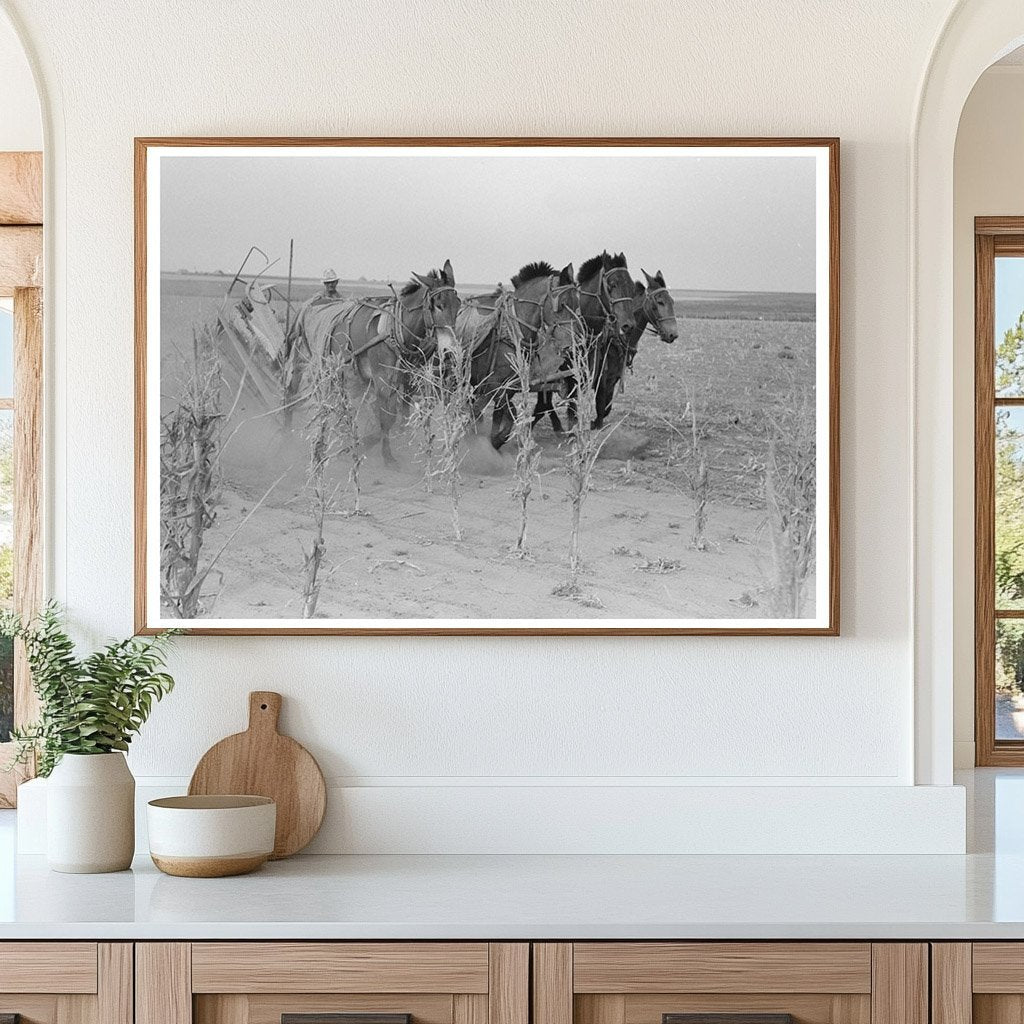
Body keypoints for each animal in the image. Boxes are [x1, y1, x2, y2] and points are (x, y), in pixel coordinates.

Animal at [303, 258, 460, 466]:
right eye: (438, 305)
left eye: (458, 305)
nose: (450, 352)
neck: (398, 331)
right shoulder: (382, 380)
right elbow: (387, 418)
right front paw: (386, 456)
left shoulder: (407, 378)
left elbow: (400, 413)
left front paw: (397, 440)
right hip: (333, 372)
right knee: (335, 404)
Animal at [458, 260, 581, 448]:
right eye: (562, 304)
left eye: (576, 304)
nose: (572, 344)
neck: (513, 332)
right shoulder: (495, 385)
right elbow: (507, 415)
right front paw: (494, 441)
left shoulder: (509, 386)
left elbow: (503, 416)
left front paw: (496, 441)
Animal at [532, 252, 634, 436]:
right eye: (612, 285)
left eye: (631, 286)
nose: (628, 325)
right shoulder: (572, 379)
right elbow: (571, 411)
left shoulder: (599, 378)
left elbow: (600, 408)